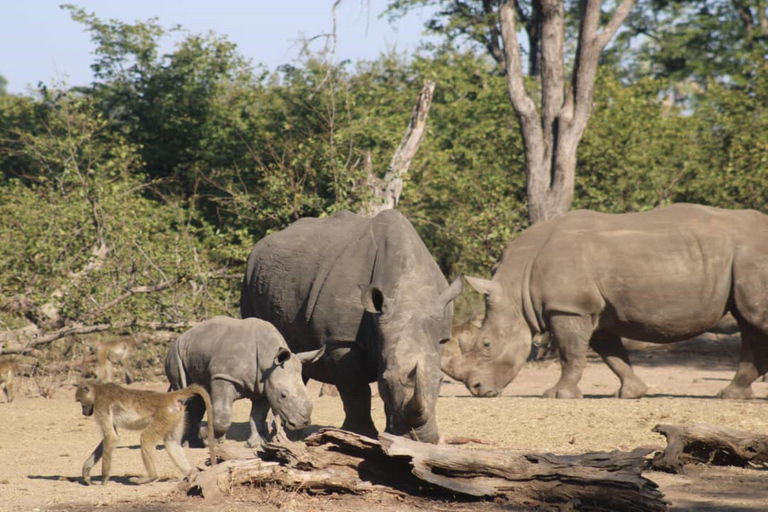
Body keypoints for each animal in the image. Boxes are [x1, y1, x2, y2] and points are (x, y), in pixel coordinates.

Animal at [165, 316, 324, 450]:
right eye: (283, 395)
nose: (302, 423)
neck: (268, 358)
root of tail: (181, 337)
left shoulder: (264, 386)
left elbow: (258, 416)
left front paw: (255, 444)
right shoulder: (223, 377)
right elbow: (224, 416)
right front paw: (206, 435)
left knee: (198, 397)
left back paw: (195, 443)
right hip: (175, 354)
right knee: (187, 395)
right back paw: (190, 444)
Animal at [241, 210, 462, 444]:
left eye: (441, 381)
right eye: (385, 381)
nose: (417, 438)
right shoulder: (341, 339)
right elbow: (355, 391)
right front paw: (360, 435)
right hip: (249, 280)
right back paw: (278, 438)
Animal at [443, 204, 768, 400]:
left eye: (486, 345)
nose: (477, 389)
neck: (515, 288)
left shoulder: (569, 308)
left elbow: (570, 354)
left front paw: (557, 395)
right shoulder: (593, 311)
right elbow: (613, 355)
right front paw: (632, 393)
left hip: (752, 255)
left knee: (754, 320)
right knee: (748, 324)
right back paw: (732, 395)